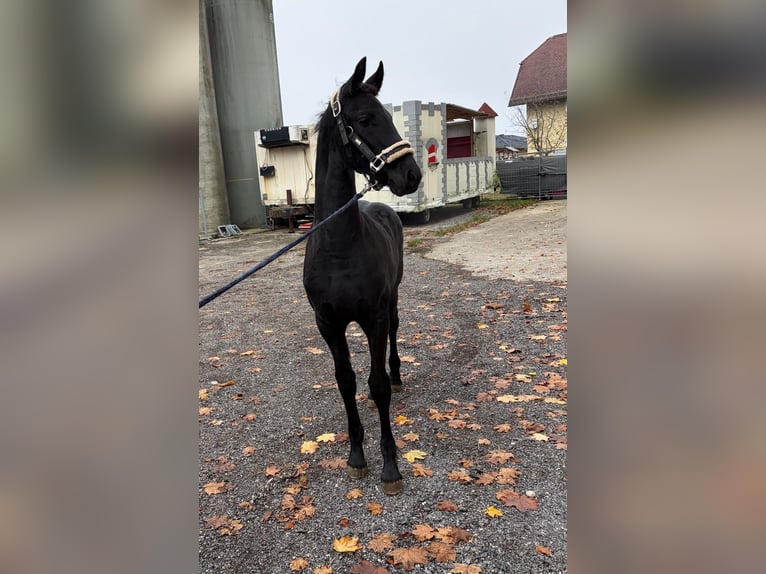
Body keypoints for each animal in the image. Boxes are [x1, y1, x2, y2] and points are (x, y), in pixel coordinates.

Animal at [302, 57, 422, 495]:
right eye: (366, 118)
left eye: (390, 115)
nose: (411, 175)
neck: (340, 247)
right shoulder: (328, 324)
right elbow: (347, 382)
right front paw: (356, 456)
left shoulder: (373, 317)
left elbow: (378, 384)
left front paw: (390, 466)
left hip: (393, 302)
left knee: (393, 338)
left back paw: (398, 373)